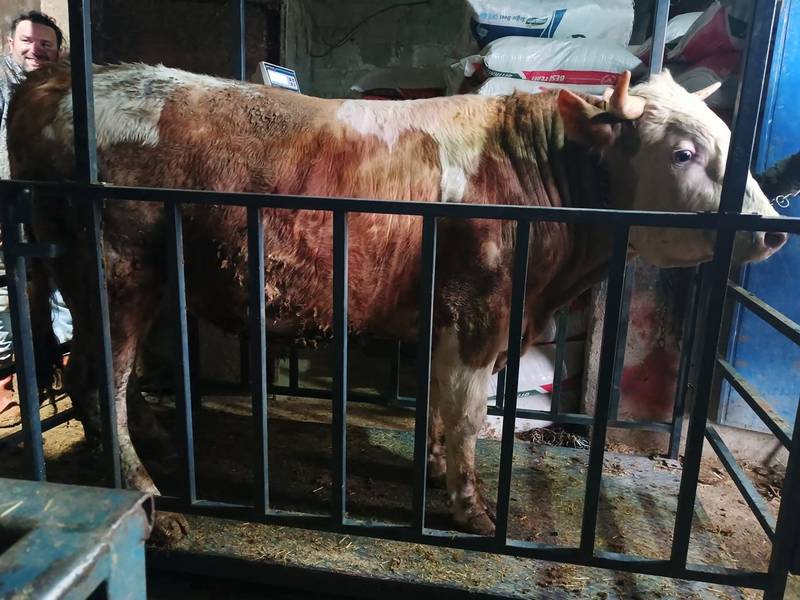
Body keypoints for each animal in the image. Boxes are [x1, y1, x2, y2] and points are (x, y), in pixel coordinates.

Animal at [7, 62, 787, 538]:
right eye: (682, 152)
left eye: (728, 138)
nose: (773, 229)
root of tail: (59, 78)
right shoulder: (480, 311)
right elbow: (467, 413)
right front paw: (473, 510)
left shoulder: (456, 318)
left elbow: (441, 405)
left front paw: (437, 469)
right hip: (114, 273)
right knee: (101, 380)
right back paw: (149, 500)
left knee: (103, 374)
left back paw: (148, 444)